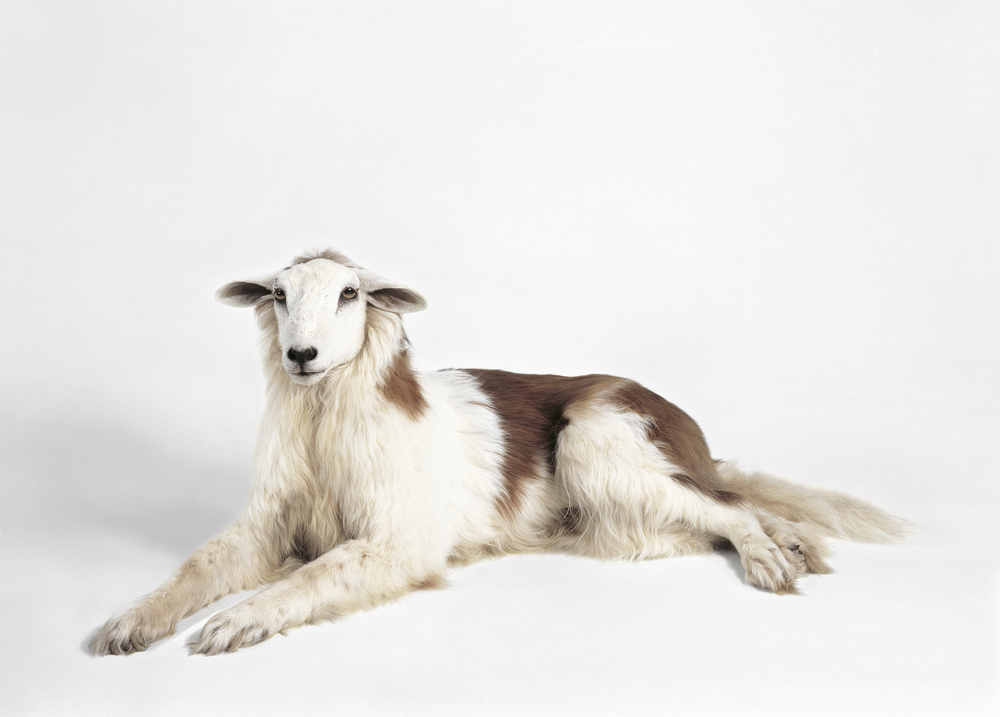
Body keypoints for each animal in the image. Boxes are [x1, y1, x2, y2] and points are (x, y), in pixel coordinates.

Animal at [90, 249, 908, 656]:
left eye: (350, 294)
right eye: (280, 296)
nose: (301, 355)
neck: (327, 418)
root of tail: (687, 426)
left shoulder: (400, 541)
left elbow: (309, 575)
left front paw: (238, 619)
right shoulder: (268, 523)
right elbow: (197, 565)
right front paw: (135, 618)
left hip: (594, 440)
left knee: (733, 506)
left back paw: (773, 553)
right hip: (617, 514)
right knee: (727, 509)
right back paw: (793, 542)